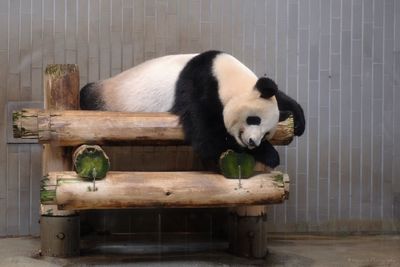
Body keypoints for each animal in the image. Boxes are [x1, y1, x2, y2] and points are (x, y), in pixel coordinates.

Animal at [81, 50, 306, 169]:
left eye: (267, 132)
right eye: (254, 119)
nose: (253, 142)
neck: (226, 76)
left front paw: (298, 121)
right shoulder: (199, 85)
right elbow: (208, 138)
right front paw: (271, 155)